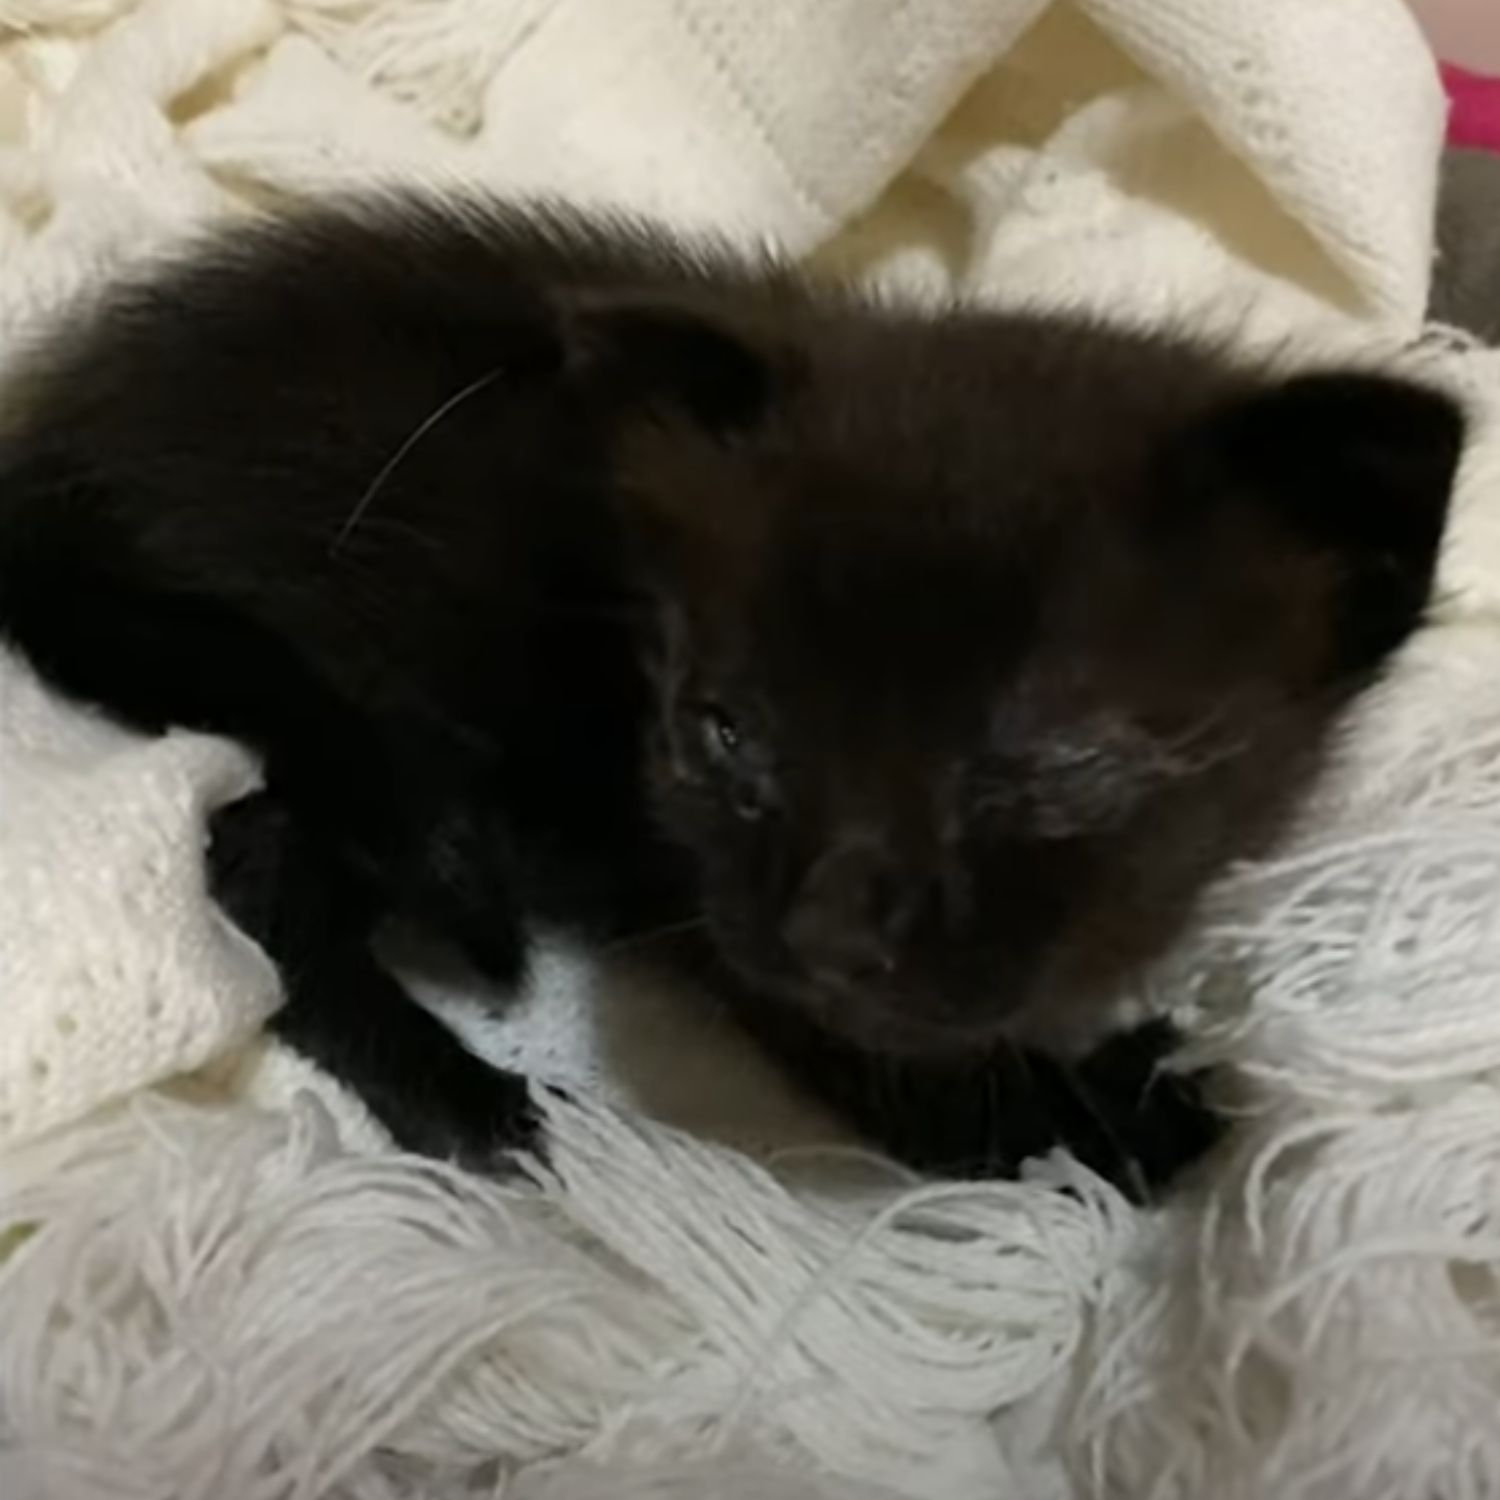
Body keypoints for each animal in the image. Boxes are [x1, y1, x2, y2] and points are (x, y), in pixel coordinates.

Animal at [0, 193, 1458, 1194]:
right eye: (726, 732)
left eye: (1059, 763)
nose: (827, 930)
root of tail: (57, 457)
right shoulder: (689, 880)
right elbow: (907, 1074)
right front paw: (1104, 1118)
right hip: (383, 701)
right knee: (265, 860)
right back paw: (478, 1107)